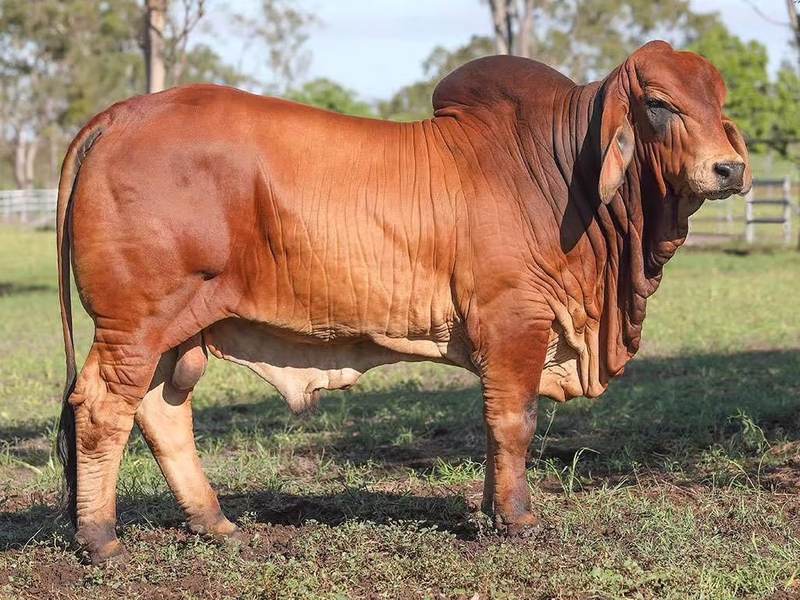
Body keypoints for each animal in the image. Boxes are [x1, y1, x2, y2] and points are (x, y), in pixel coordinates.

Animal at [56, 40, 750, 564]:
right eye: (658, 104)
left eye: (719, 103)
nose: (730, 169)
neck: (560, 175)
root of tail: (120, 115)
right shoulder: (515, 320)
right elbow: (514, 422)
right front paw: (515, 519)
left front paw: (494, 513)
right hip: (134, 323)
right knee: (101, 409)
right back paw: (101, 540)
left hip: (176, 328)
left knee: (161, 412)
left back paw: (214, 523)